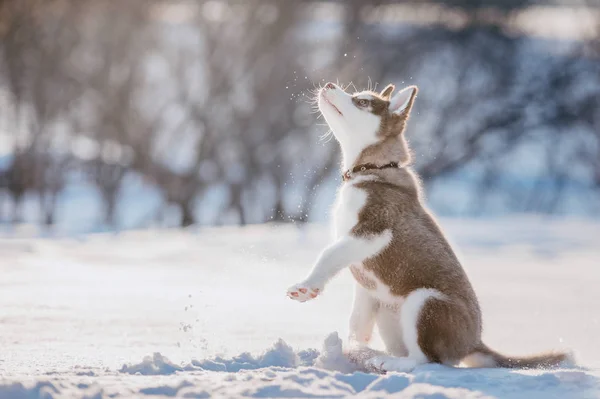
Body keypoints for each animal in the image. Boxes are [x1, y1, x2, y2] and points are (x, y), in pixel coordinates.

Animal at [288, 83, 568, 374]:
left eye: (362, 101)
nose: (329, 85)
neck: (372, 169)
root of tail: (473, 343)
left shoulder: (374, 230)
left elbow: (328, 254)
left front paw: (306, 287)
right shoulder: (362, 277)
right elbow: (356, 318)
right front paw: (350, 347)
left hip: (424, 301)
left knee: (424, 359)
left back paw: (390, 362)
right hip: (390, 313)